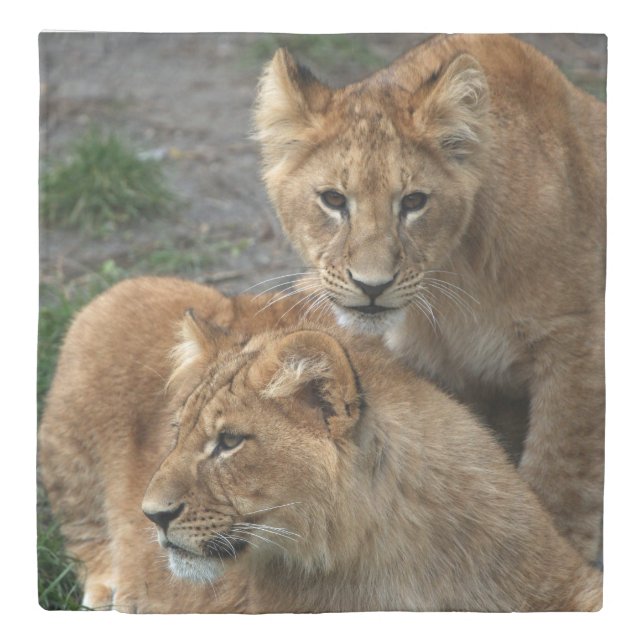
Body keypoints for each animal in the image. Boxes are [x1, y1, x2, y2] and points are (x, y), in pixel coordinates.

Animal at [253, 34, 606, 562]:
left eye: (414, 202)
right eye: (333, 200)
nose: (372, 285)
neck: (456, 279)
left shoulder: (578, 345)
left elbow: (559, 479)